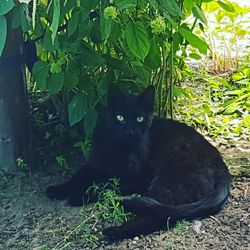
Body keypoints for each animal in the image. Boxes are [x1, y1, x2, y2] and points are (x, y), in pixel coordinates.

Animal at [46, 85, 231, 240]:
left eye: (139, 118)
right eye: (120, 117)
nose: (130, 131)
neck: (118, 148)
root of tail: (223, 168)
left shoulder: (131, 179)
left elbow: (104, 186)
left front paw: (79, 196)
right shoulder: (97, 163)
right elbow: (78, 176)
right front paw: (56, 189)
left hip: (167, 180)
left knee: (160, 216)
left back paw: (114, 229)